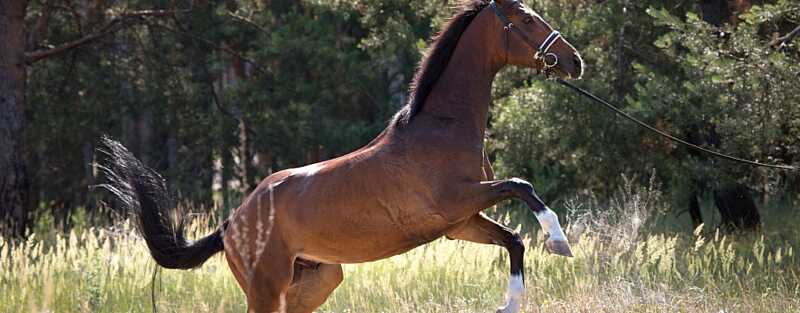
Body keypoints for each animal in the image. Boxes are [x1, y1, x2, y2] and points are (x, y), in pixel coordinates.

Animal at [103, 1, 584, 310]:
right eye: (527, 18)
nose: (575, 61)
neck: (441, 128)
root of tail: (231, 223)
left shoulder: (459, 223)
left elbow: (514, 239)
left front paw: (512, 303)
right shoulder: (457, 202)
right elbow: (522, 186)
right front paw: (558, 240)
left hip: (314, 281)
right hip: (267, 289)